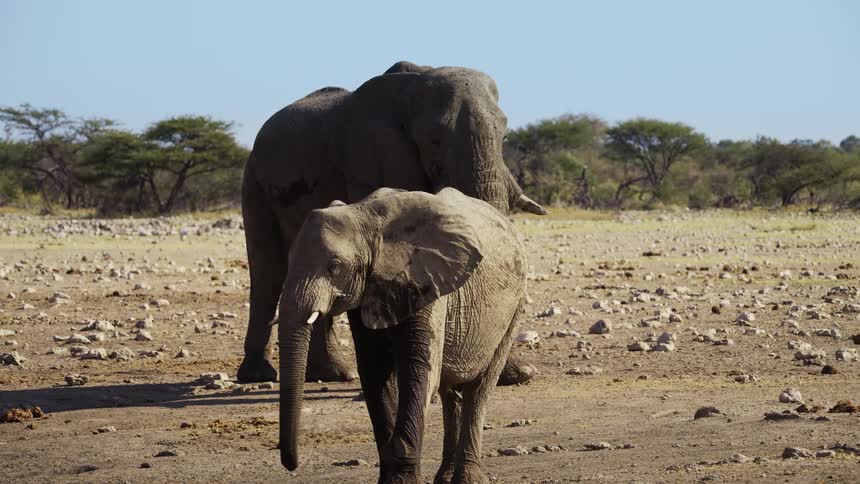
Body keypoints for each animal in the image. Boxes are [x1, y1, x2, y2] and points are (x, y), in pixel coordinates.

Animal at [238, 61, 545, 385]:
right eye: (434, 140)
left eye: (505, 137)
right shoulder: (371, 157)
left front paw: (517, 374)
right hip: (254, 182)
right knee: (268, 273)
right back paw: (259, 374)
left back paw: (333, 374)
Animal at [279, 188, 526, 483]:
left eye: (334, 267)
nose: (291, 464)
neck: (365, 217)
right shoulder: (369, 289)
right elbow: (375, 373)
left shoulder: (426, 282)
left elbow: (418, 371)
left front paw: (403, 480)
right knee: (449, 393)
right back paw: (445, 477)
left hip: (513, 308)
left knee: (479, 389)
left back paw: (467, 478)